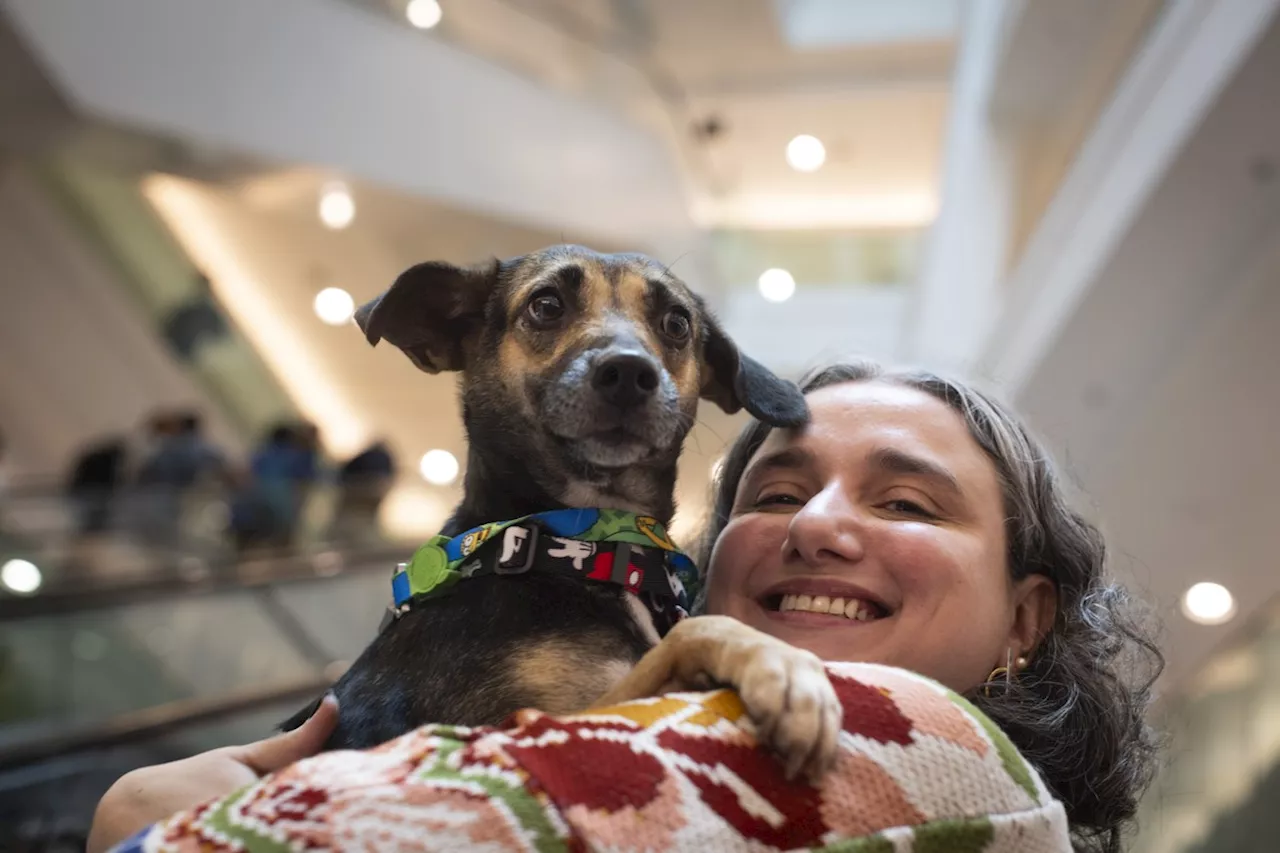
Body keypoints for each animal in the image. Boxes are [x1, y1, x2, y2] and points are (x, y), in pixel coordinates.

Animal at [293, 242, 839, 773]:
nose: (629, 373)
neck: (587, 540)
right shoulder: (536, 720)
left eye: (677, 323)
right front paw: (784, 665)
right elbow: (695, 631)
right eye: (547, 305)